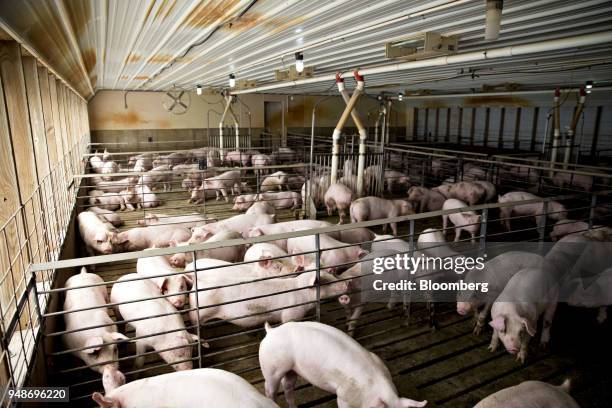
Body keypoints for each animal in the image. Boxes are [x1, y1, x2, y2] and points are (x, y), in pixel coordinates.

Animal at [186, 270, 350, 330]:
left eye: (331, 274)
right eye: (325, 282)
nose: (347, 283)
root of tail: (198, 281)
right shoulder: (291, 313)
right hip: (198, 314)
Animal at [258, 322, 426, 408]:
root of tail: (270, 331)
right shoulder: (344, 396)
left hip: (291, 368)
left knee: (288, 387)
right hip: (271, 368)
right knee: (270, 390)